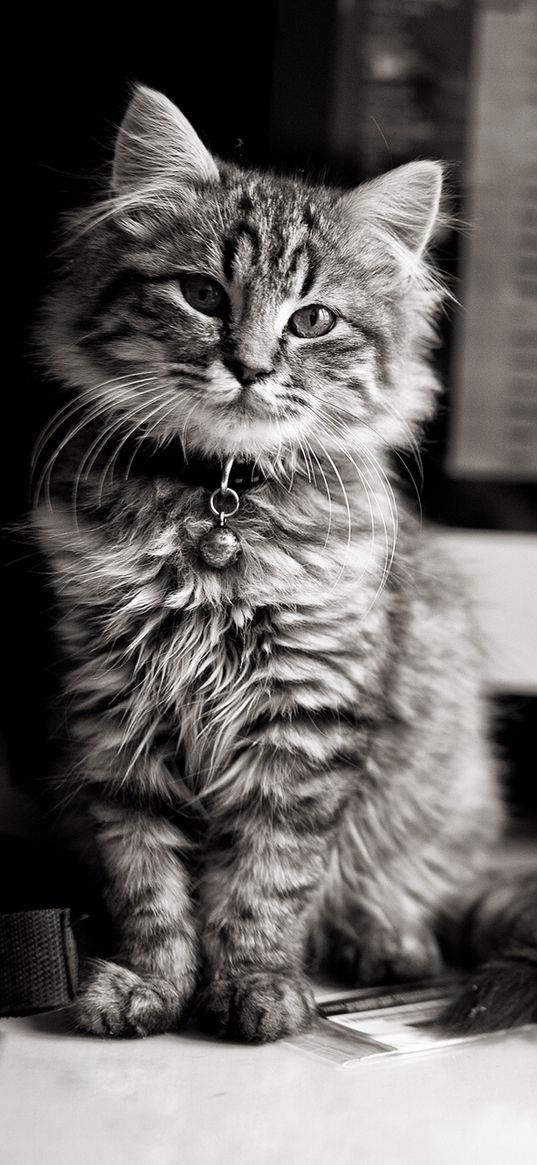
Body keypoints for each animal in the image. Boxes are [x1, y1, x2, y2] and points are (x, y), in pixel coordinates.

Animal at [30, 86, 535, 1043]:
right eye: (200, 294)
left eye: (311, 321)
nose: (248, 366)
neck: (221, 505)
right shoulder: (116, 713)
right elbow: (147, 880)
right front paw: (152, 985)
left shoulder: (303, 715)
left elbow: (265, 880)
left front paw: (255, 985)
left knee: (410, 881)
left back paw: (386, 940)